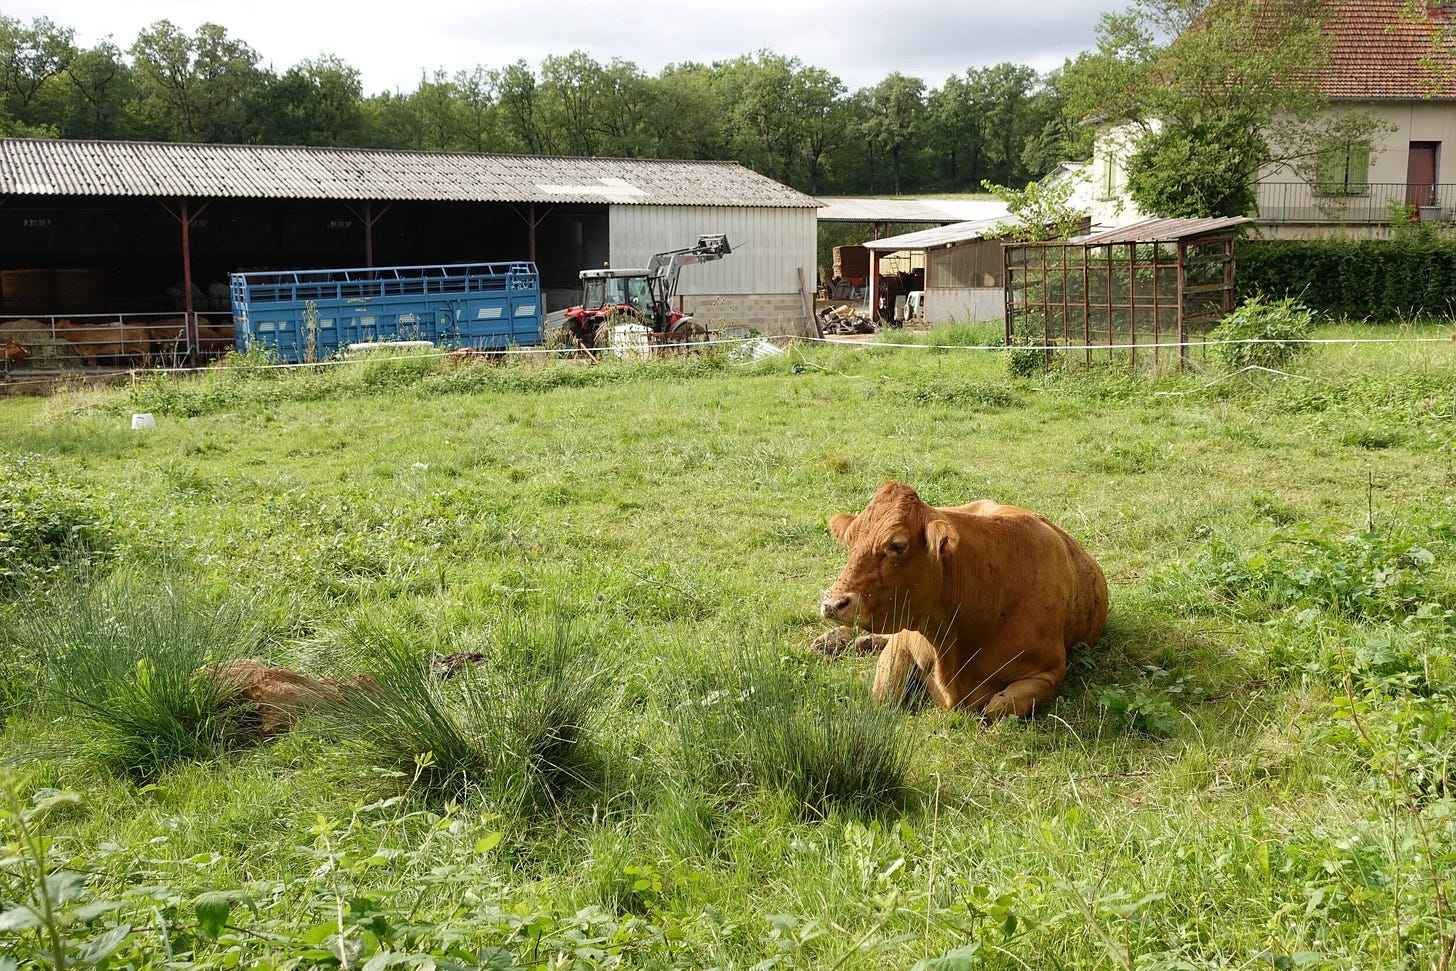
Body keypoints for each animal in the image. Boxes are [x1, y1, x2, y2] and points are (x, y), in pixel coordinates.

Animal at [816, 482, 1108, 719]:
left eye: (897, 545)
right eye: (850, 540)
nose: (833, 603)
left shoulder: (1051, 671)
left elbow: (998, 707)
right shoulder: (905, 639)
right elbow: (884, 696)